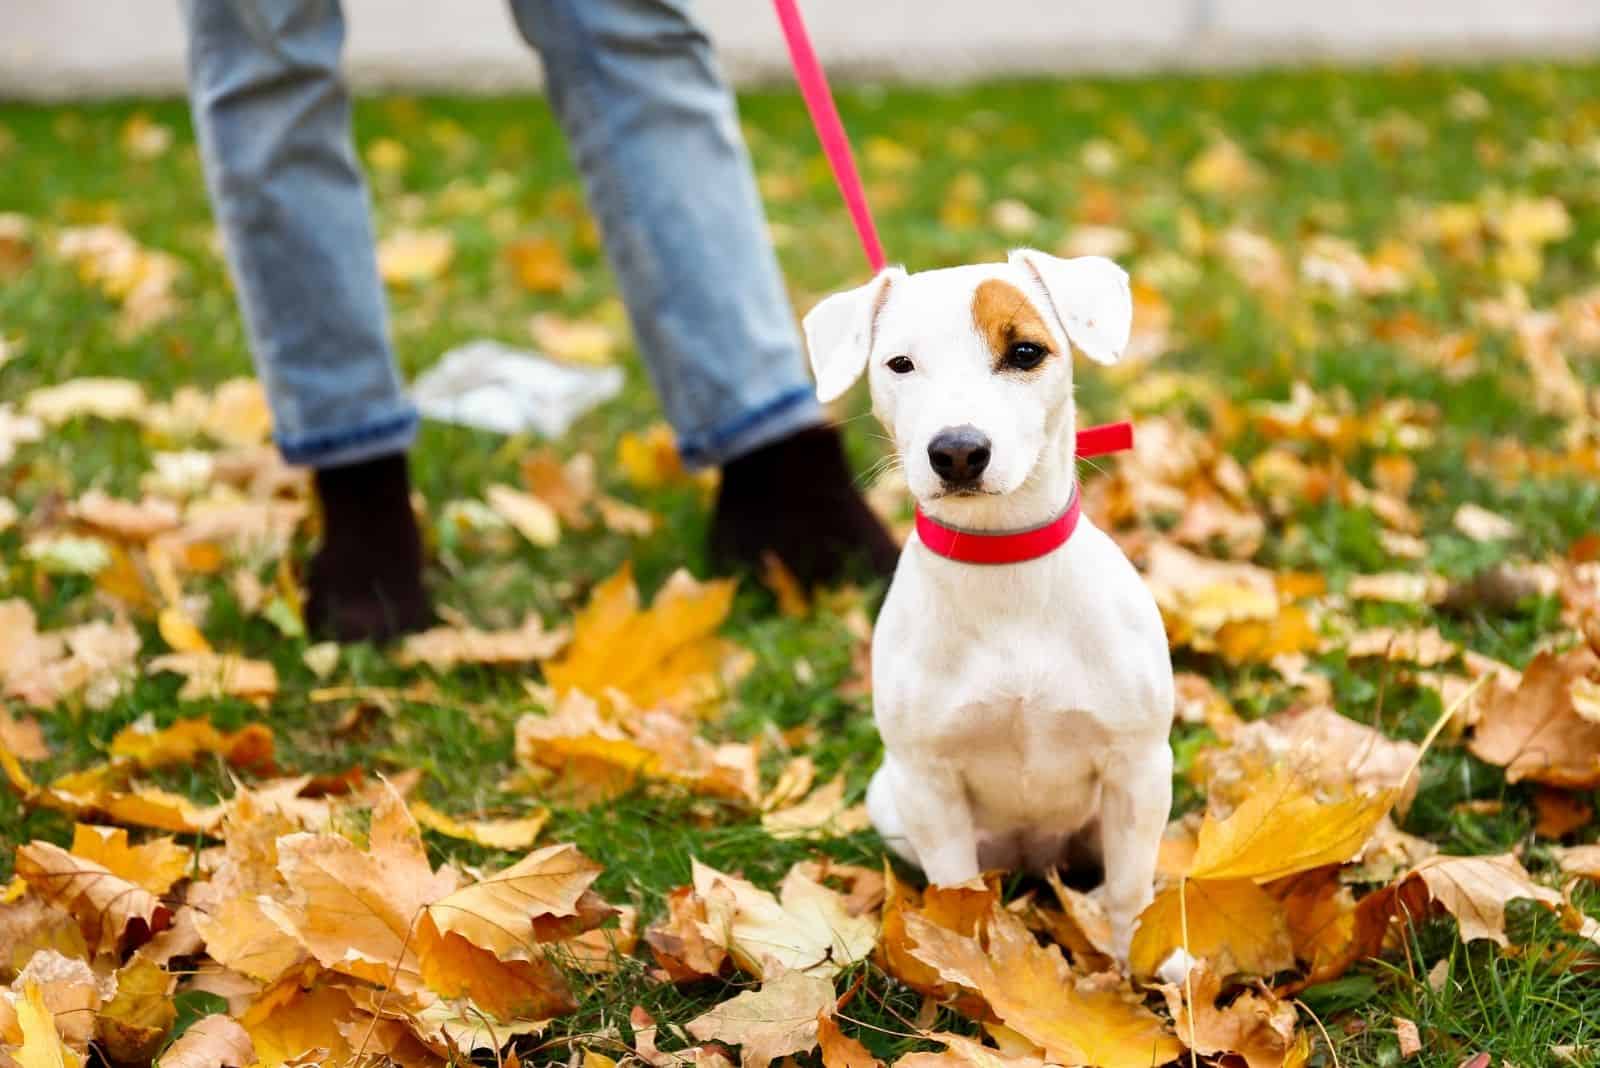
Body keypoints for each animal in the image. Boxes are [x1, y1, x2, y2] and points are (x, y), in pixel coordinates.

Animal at [806, 252, 1171, 965]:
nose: (957, 451)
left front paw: (1142, 964)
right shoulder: (929, 784)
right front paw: (962, 968)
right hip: (892, 803)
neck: (1003, 566)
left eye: (1025, 351)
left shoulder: (1139, 769)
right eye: (899, 363)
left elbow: (1130, 889)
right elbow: (957, 892)